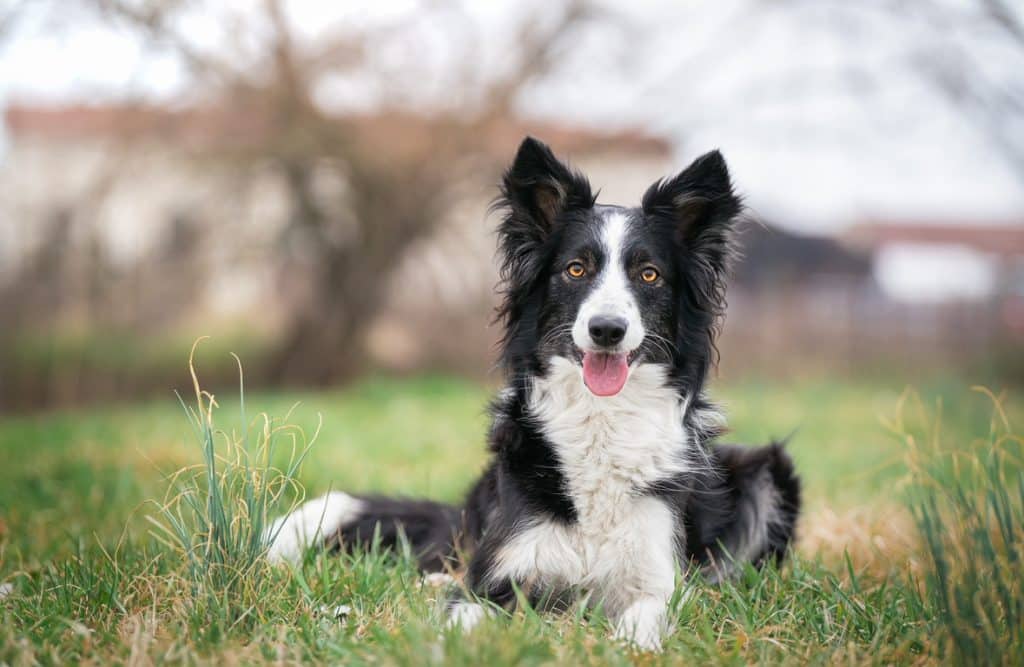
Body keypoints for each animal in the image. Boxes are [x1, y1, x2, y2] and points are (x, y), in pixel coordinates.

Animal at [266, 137, 801, 651]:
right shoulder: (498, 575)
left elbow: (646, 616)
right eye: (576, 269)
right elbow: (465, 610)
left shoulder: (658, 582)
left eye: (649, 274)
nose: (607, 329)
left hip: (768, 471)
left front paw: (630, 647)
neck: (601, 420)